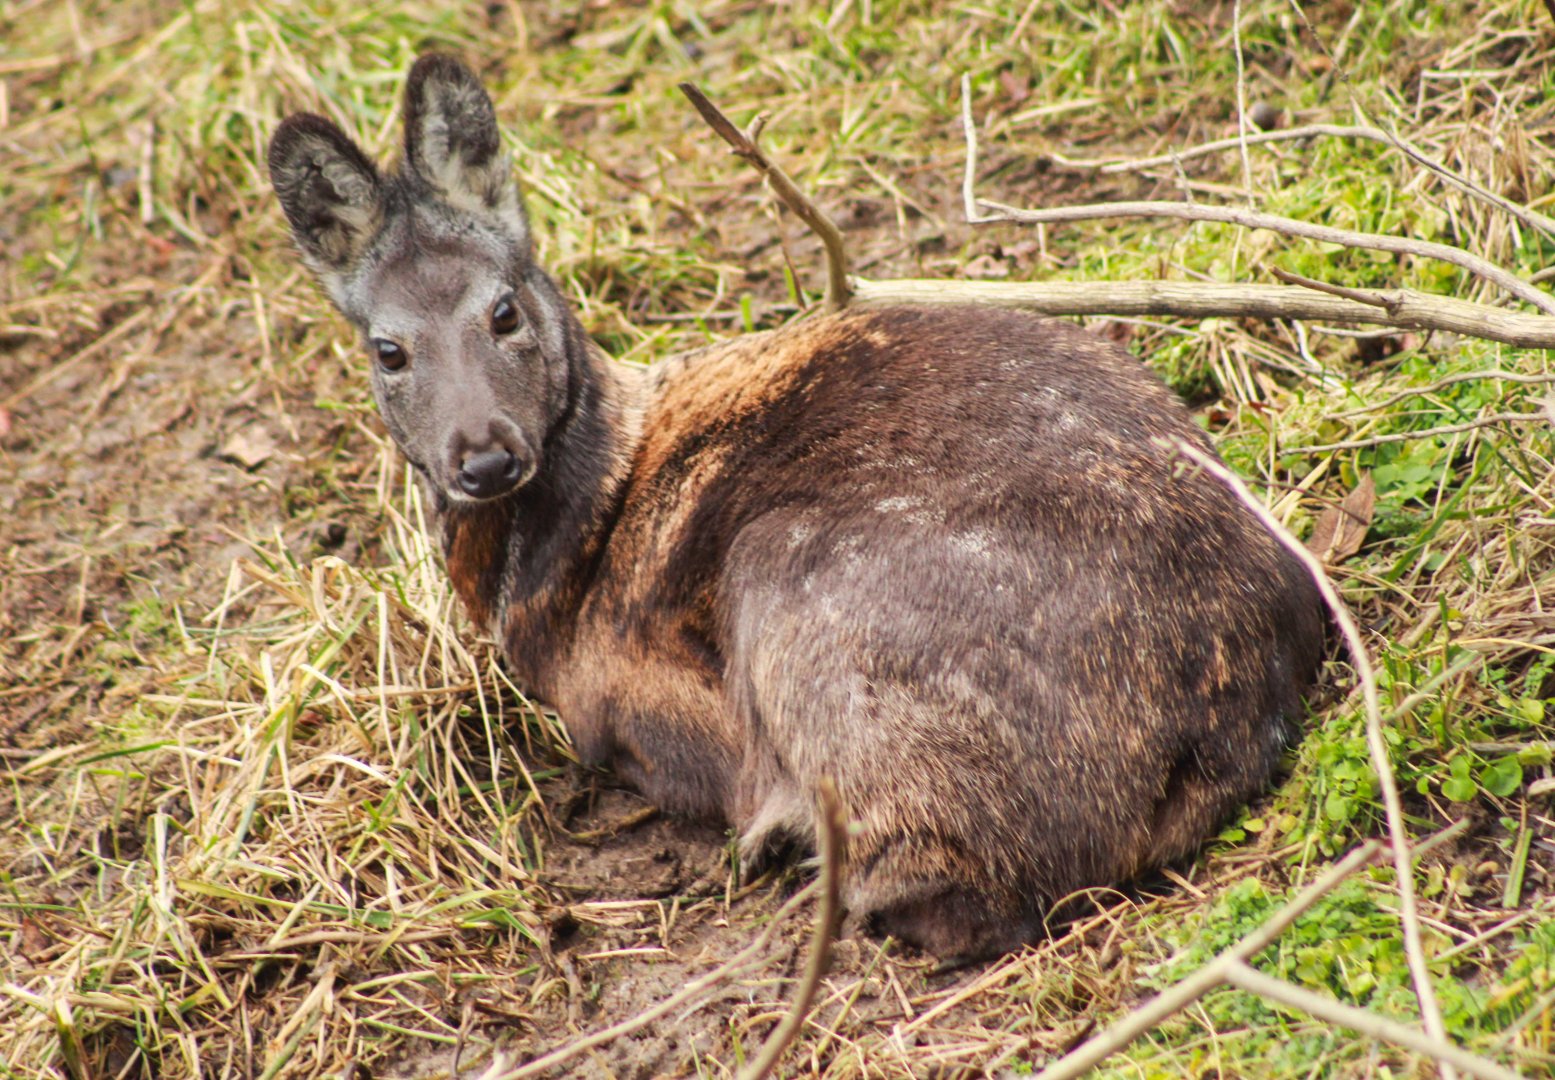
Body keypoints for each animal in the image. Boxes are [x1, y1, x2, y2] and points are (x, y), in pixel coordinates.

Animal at [268, 53, 1326, 962]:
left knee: (966, 895)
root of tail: (1220, 719)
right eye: (387, 349)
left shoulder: (618, 705)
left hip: (797, 586)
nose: (484, 456)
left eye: (503, 311)